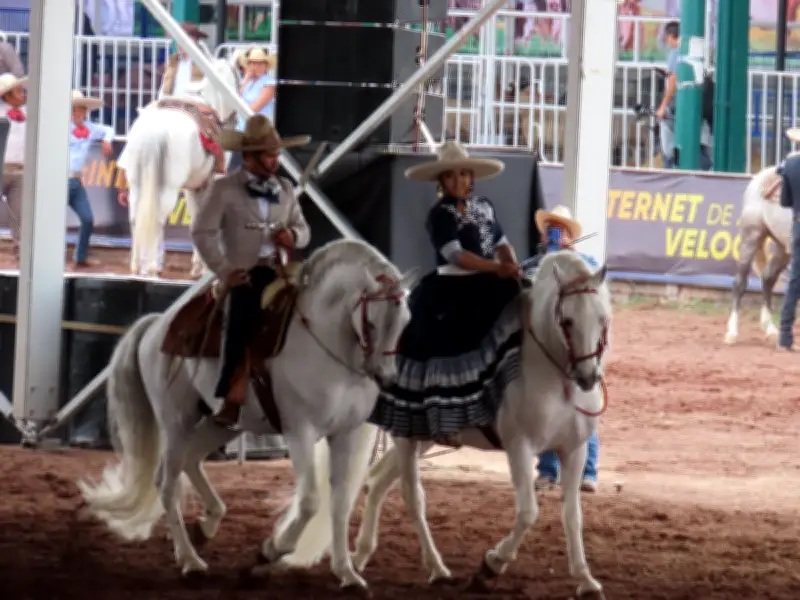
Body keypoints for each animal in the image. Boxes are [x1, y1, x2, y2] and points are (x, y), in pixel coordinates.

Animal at [77, 239, 420, 588]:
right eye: (372, 322)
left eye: (405, 322)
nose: (385, 376)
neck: (326, 346)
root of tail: (156, 326)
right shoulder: (300, 431)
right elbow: (310, 501)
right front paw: (271, 550)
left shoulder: (345, 433)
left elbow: (339, 502)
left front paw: (347, 573)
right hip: (176, 421)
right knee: (166, 483)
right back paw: (189, 559)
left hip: (221, 423)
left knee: (191, 460)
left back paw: (208, 524)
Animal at [121, 54, 240, 278]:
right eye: (238, 80)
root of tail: (153, 133)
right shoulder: (210, 183)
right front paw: (202, 267)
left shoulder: (195, 187)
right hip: (167, 188)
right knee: (157, 219)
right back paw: (151, 267)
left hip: (137, 184)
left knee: (135, 219)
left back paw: (137, 265)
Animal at [284, 251, 612, 599]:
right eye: (567, 321)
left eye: (603, 319)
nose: (588, 377)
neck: (551, 373)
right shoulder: (519, 447)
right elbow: (528, 512)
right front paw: (490, 566)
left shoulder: (574, 450)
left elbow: (573, 515)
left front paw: (585, 580)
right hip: (405, 435)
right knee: (412, 497)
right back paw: (436, 568)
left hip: (422, 436)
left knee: (378, 480)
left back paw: (360, 558)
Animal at [724, 163, 794, 345]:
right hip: (751, 237)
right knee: (739, 284)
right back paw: (732, 332)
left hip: (783, 247)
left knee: (768, 278)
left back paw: (770, 329)